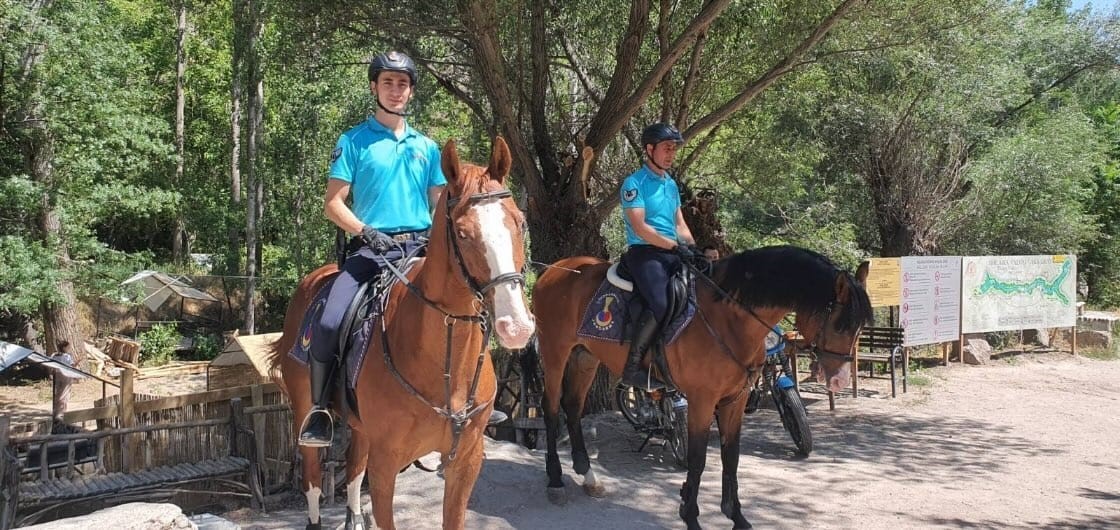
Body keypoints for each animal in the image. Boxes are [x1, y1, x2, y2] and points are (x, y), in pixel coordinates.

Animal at [266, 137, 537, 528]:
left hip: (361, 429)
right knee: (313, 480)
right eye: (463, 232)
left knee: (353, 472)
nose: (516, 326)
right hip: (306, 413)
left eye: (519, 222)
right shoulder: (386, 465)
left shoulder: (466, 463)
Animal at [530, 245, 873, 526]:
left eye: (859, 327)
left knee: (573, 406)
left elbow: (731, 457)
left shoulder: (735, 400)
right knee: (551, 408)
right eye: (839, 323)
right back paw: (555, 480)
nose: (840, 380)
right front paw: (690, 514)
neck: (730, 318)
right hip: (554, 352)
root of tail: (556, 269)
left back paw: (587, 475)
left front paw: (736, 516)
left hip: (584, 356)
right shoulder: (702, 401)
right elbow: (697, 459)